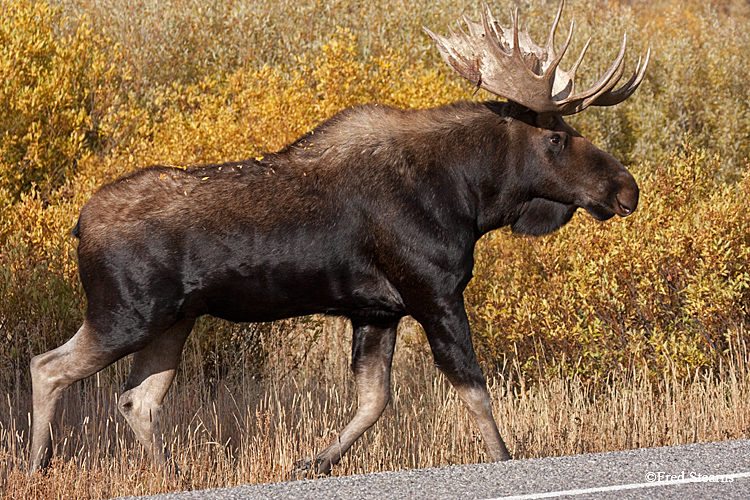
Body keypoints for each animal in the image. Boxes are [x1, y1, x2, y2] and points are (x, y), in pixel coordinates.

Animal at [29, 0, 648, 475]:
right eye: (555, 137)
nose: (627, 189)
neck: (472, 196)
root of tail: (79, 223)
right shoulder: (434, 294)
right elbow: (474, 391)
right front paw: (505, 461)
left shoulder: (377, 310)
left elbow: (374, 401)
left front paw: (311, 461)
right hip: (125, 313)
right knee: (48, 366)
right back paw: (37, 464)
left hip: (174, 321)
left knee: (138, 400)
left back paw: (168, 473)